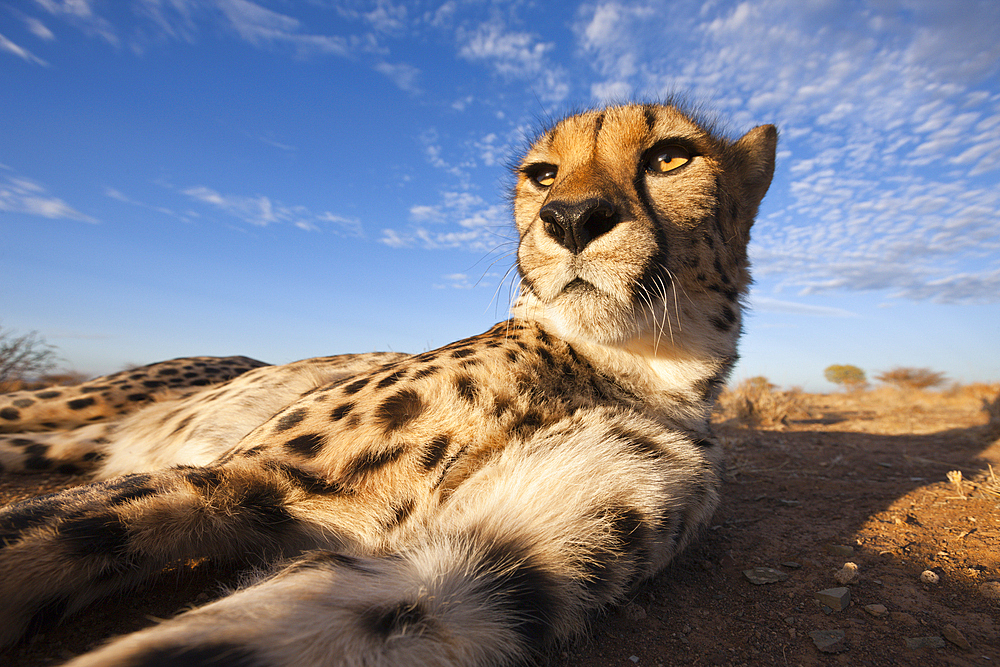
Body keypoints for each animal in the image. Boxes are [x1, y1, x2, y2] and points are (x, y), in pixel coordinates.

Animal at [0, 102, 772, 664]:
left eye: (670, 156)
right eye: (543, 174)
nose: (572, 218)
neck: (637, 367)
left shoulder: (472, 571)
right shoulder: (241, 475)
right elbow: (45, 531)